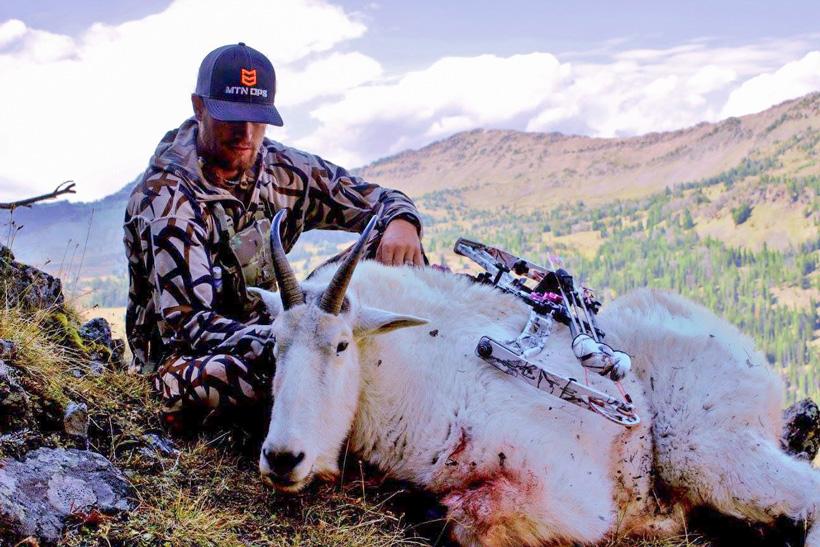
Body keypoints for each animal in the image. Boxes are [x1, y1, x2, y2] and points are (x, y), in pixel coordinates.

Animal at [254, 210, 820, 546]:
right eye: (274, 346)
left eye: (341, 345)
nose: (282, 458)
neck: (407, 375)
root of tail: (757, 364)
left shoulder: (571, 495)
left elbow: (459, 516)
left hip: (704, 449)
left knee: (804, 493)